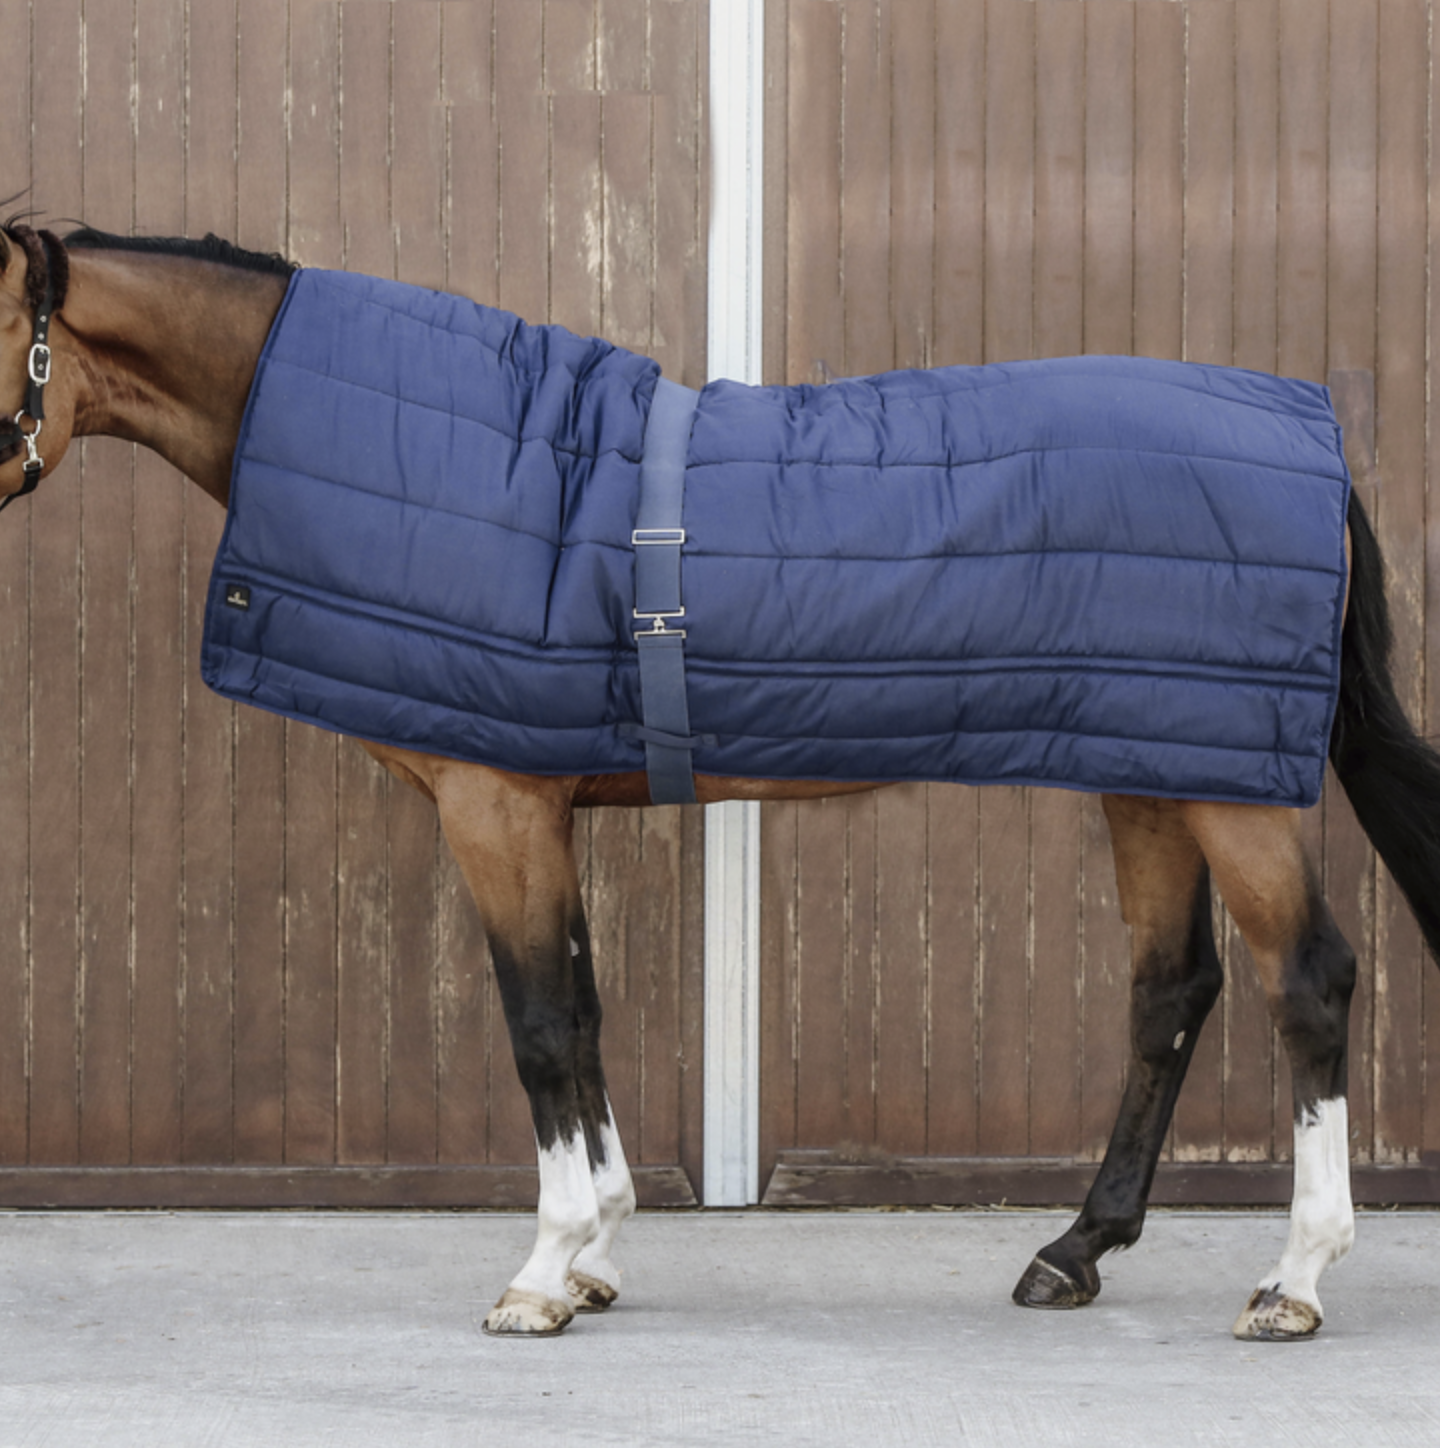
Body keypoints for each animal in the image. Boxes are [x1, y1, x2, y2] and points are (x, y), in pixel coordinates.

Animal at [3, 220, 1438, 1345]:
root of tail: (1312, 440)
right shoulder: (542, 807)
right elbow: (584, 1016)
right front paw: (597, 1252)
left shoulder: (495, 806)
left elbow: (539, 1030)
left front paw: (541, 1272)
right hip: (1156, 769)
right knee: (1171, 991)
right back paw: (1073, 1249)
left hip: (1233, 794)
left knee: (1307, 984)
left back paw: (1295, 1280)